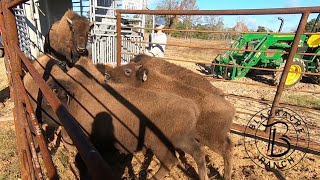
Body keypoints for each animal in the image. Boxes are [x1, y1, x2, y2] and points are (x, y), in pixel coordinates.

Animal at [24, 56, 210, 180]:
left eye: (48, 98)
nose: (38, 116)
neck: (77, 98)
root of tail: (191, 106)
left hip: (162, 144)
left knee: (170, 161)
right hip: (183, 140)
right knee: (198, 153)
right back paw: (203, 176)